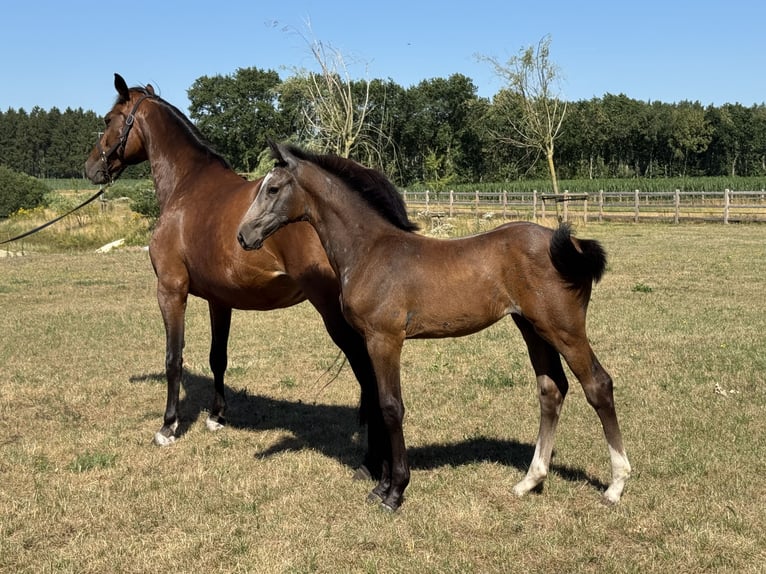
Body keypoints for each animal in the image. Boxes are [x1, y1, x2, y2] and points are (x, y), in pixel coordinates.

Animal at [84, 74, 385, 478]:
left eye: (107, 120)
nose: (90, 169)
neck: (186, 188)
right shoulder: (219, 300)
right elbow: (218, 357)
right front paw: (216, 417)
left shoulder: (171, 291)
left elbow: (173, 358)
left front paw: (168, 426)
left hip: (331, 310)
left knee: (366, 368)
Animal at [237, 141, 632, 511]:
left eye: (273, 189)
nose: (243, 236)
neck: (370, 251)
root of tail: (571, 245)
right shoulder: (370, 342)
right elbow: (377, 402)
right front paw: (380, 486)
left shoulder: (385, 339)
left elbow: (390, 406)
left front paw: (395, 491)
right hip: (532, 328)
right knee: (551, 389)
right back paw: (529, 481)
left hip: (563, 328)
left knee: (598, 385)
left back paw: (615, 486)